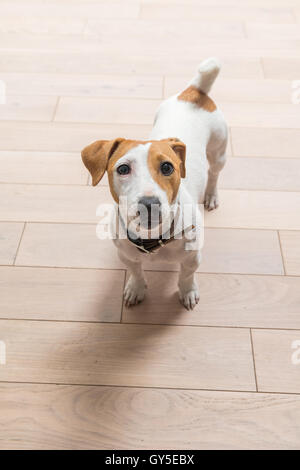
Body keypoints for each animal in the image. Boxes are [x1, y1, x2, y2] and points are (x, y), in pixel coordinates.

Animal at [82, 57, 227, 310]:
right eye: (122, 169)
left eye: (167, 167)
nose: (149, 204)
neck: (152, 238)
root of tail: (195, 92)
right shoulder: (126, 255)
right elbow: (136, 271)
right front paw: (136, 288)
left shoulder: (192, 258)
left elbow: (186, 276)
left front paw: (188, 292)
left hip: (219, 151)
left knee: (215, 174)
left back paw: (211, 195)